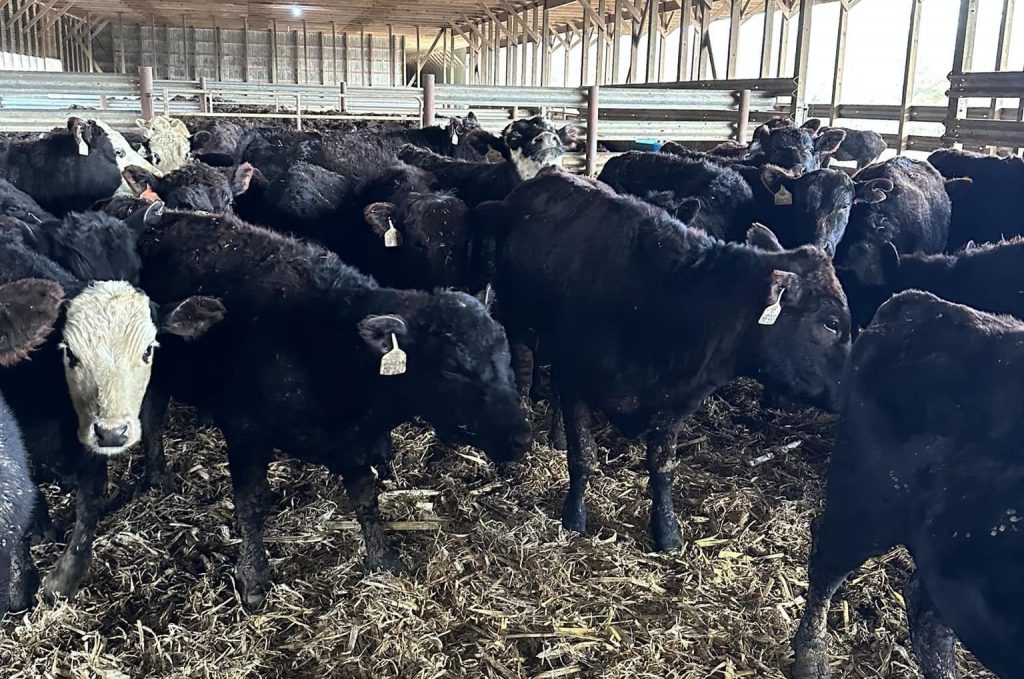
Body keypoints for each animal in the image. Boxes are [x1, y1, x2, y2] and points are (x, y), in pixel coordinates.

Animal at [134, 206, 531, 605]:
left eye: (505, 353)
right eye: (453, 366)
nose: (521, 437)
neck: (327, 345)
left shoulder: (353, 441)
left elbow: (366, 499)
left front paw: (383, 559)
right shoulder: (245, 431)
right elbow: (251, 504)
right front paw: (253, 575)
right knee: (151, 415)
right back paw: (157, 473)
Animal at [487, 168, 850, 552]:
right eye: (831, 322)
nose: (851, 389)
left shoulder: (673, 404)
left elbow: (663, 469)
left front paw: (667, 531)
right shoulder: (576, 381)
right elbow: (583, 456)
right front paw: (574, 517)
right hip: (515, 320)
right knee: (523, 370)